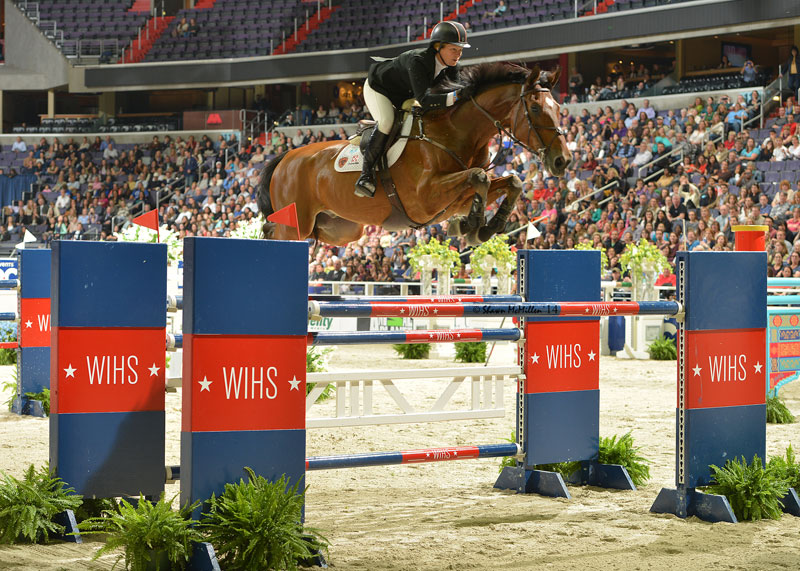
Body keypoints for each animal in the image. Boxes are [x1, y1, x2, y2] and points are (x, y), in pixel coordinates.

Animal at [256, 62, 568, 246]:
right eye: (536, 108)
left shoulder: (455, 199)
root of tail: (284, 159)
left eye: (559, 108)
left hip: (339, 229)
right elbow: (481, 176)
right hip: (297, 223)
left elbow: (509, 181)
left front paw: (480, 227)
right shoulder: (425, 199)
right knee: (275, 231)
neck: (455, 131)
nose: (562, 160)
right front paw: (474, 226)